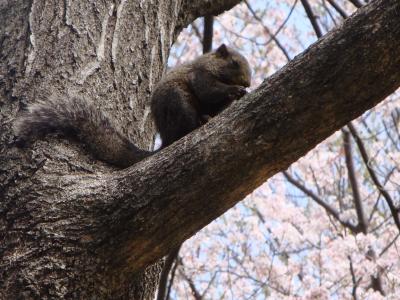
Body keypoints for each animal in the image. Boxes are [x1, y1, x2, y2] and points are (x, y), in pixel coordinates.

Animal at [14, 43, 250, 168]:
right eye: (234, 63)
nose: (248, 83)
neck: (211, 65)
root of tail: (166, 139)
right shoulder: (199, 75)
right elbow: (208, 91)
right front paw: (235, 90)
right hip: (179, 101)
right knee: (186, 126)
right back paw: (201, 121)